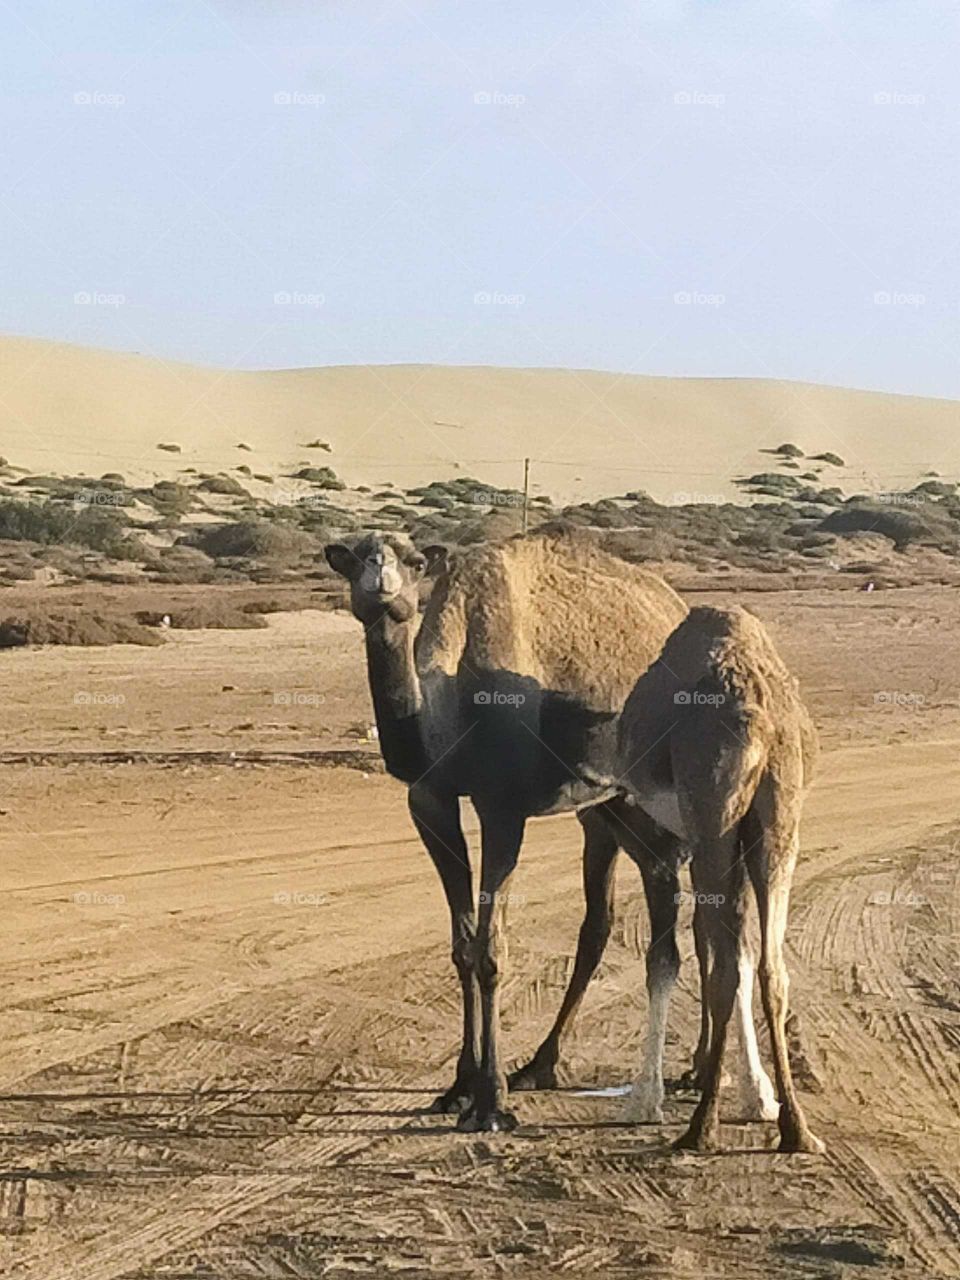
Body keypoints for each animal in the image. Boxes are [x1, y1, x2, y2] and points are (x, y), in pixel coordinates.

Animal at [325, 528, 779, 1134]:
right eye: (352, 558)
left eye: (416, 560)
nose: (380, 579)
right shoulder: (429, 801)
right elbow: (462, 946)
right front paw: (458, 1088)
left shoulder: (502, 807)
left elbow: (492, 949)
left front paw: (491, 1102)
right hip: (610, 811)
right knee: (627, 922)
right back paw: (578, 1066)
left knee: (697, 919)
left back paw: (704, 1072)